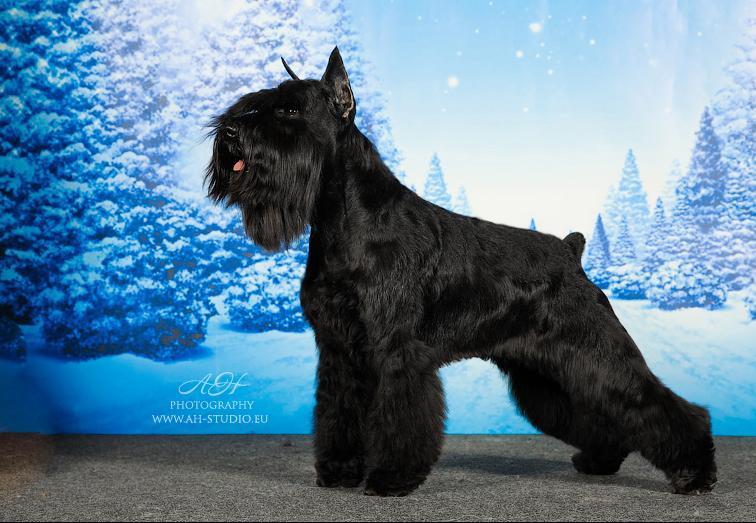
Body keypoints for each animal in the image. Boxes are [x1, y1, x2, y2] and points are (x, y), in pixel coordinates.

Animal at [205, 47, 717, 497]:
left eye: (290, 110)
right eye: (256, 103)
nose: (229, 131)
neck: (344, 220)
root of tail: (571, 252)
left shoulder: (396, 351)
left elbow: (399, 420)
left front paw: (391, 479)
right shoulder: (339, 350)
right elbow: (339, 415)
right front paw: (339, 471)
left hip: (596, 352)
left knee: (659, 405)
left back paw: (695, 474)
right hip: (547, 369)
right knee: (598, 413)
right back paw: (600, 459)